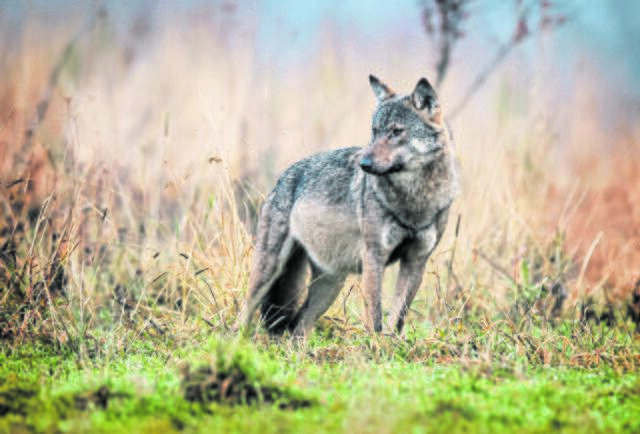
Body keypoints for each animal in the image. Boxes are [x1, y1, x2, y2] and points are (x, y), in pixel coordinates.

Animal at [241, 75, 459, 337]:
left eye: (396, 132)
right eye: (374, 132)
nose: (363, 163)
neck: (415, 200)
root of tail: (283, 177)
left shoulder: (417, 260)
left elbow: (398, 318)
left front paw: (392, 344)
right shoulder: (374, 257)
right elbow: (375, 317)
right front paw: (376, 346)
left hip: (329, 286)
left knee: (298, 326)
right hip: (270, 269)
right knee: (246, 311)